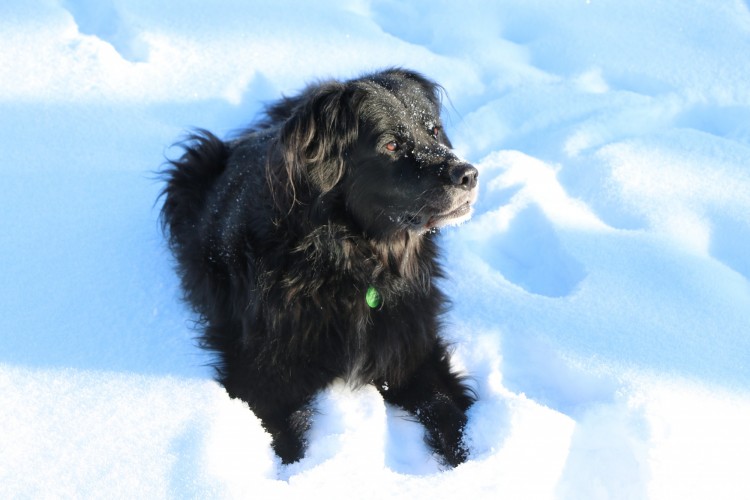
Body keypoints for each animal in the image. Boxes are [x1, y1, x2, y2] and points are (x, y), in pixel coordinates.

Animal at [161, 68, 478, 466]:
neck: (353, 262)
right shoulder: (263, 375)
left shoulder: (410, 345)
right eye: (391, 145)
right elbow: (288, 443)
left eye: (434, 131)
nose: (468, 174)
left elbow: (446, 409)